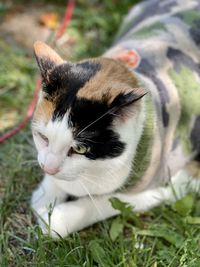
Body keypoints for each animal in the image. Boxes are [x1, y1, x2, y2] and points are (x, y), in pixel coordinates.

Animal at [31, 0, 200, 239]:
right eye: (43, 137)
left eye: (80, 149)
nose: (49, 169)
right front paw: (45, 195)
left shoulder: (167, 185)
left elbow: (107, 202)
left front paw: (56, 219)